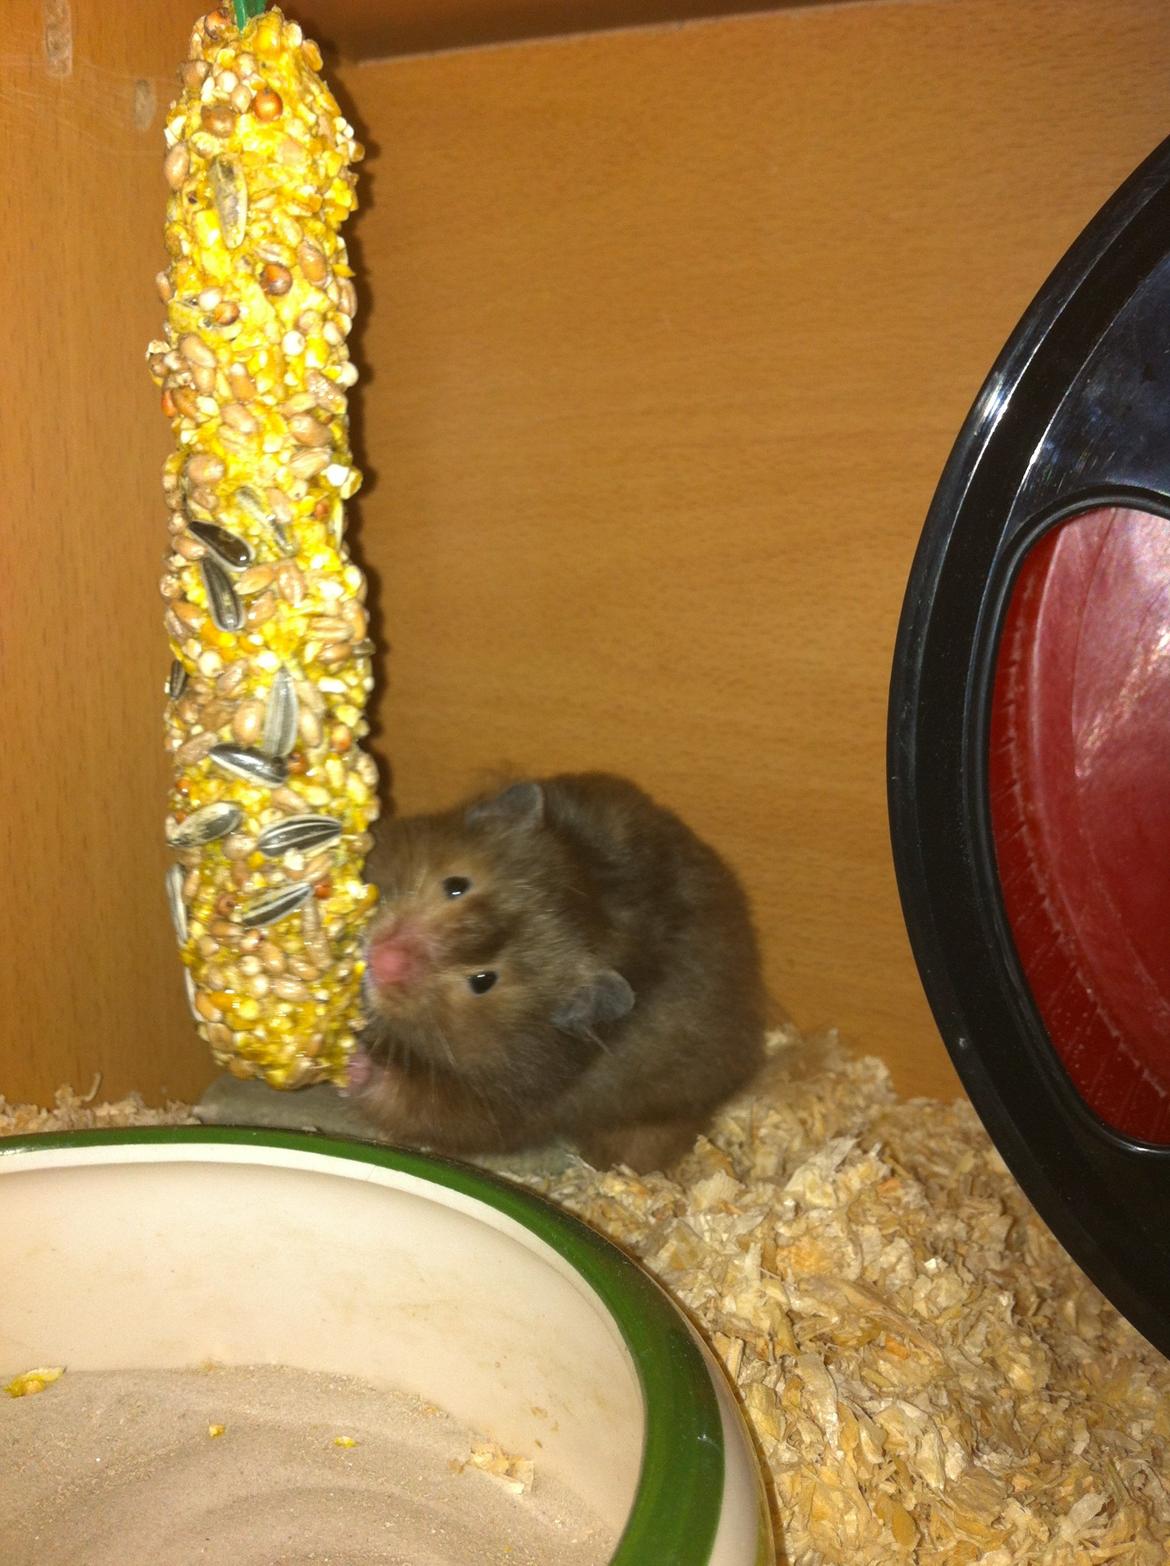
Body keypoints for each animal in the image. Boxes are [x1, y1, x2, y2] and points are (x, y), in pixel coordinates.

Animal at [346, 772, 766, 1172]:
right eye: (456, 886)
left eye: (483, 981)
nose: (383, 958)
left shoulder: (511, 1098)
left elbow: (424, 1108)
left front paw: (356, 1063)